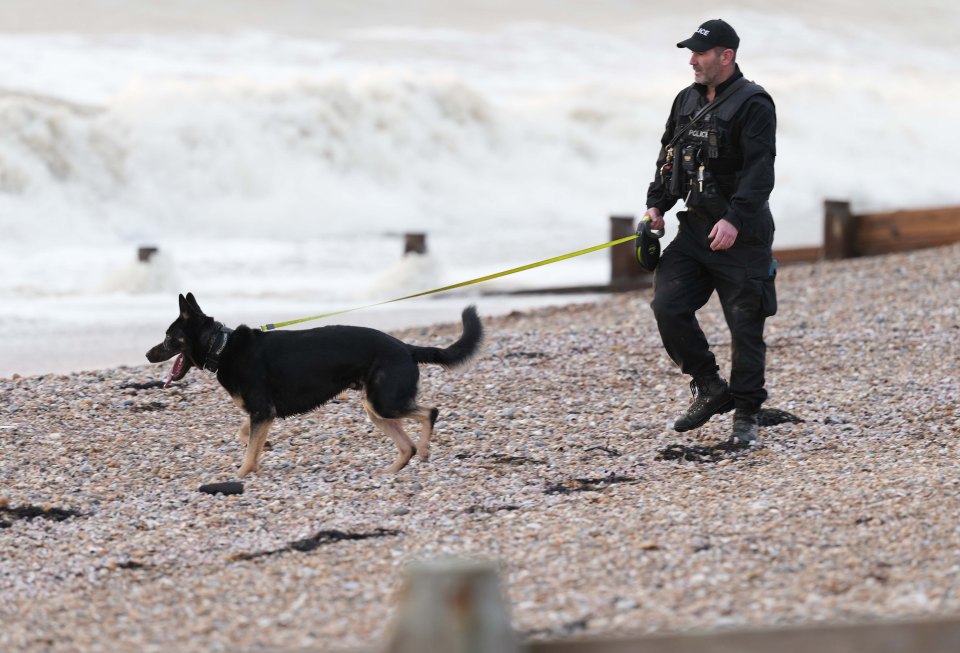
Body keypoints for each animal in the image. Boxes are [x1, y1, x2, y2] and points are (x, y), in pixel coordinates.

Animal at [145, 292, 484, 476]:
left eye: (168, 337)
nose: (147, 355)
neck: (222, 346)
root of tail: (405, 347)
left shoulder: (262, 411)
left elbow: (248, 446)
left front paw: (242, 473)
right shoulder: (262, 413)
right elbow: (247, 436)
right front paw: (260, 453)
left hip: (385, 402)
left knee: (430, 413)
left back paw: (424, 450)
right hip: (375, 408)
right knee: (407, 445)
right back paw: (390, 470)